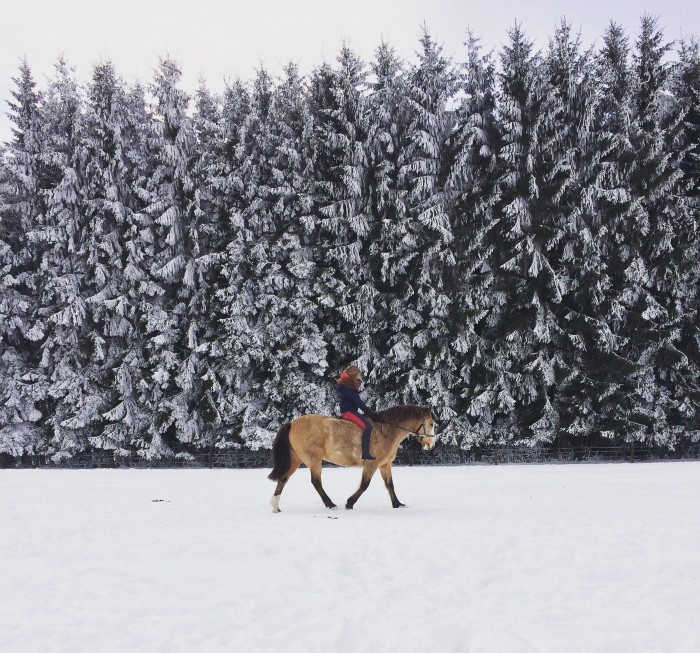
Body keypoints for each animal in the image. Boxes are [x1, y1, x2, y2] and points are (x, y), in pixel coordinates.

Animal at [268, 404, 438, 512]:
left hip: (296, 459)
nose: (431, 444)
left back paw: (276, 507)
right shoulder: (372, 464)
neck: (388, 431)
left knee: (283, 480)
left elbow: (390, 485)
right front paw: (350, 503)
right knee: (316, 482)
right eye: (431, 424)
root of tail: (292, 423)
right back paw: (330, 504)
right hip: (313, 459)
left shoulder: (385, 465)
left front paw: (397, 504)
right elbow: (364, 485)